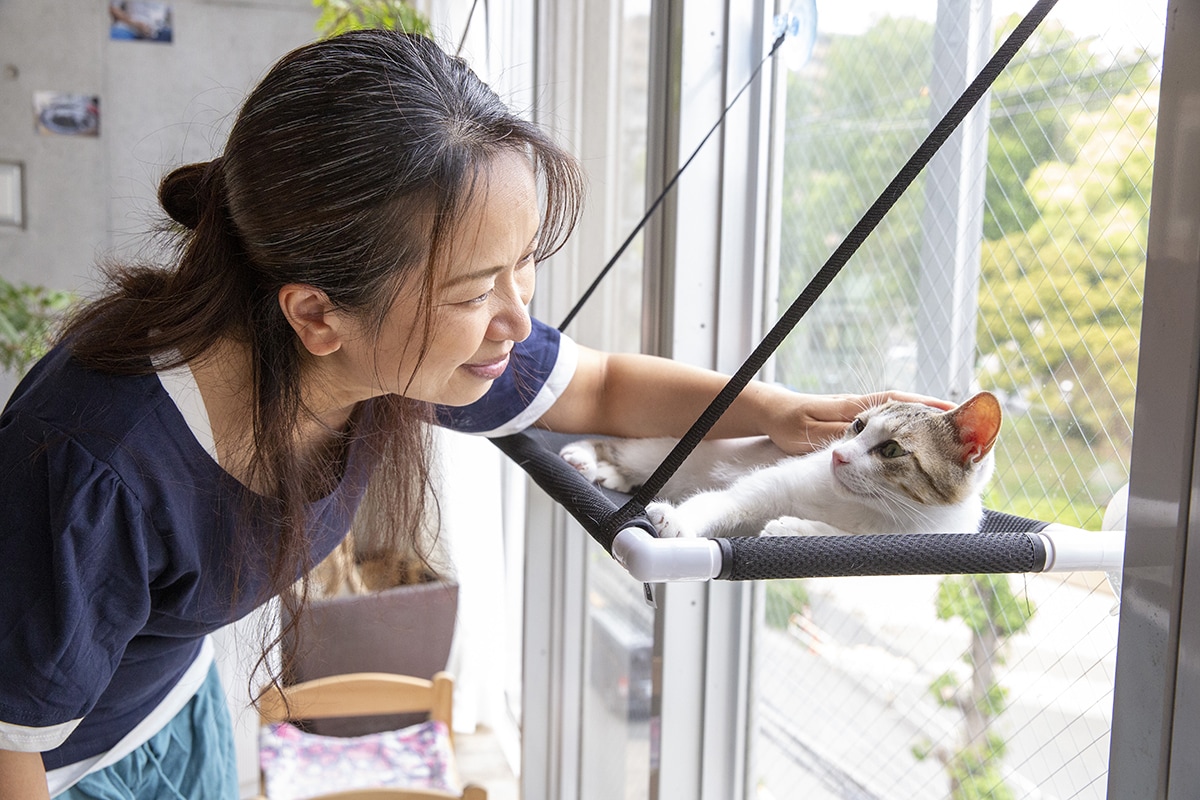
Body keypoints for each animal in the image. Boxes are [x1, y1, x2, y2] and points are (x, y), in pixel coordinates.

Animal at [561, 393, 1003, 537]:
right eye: (858, 426)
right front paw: (680, 520)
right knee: (612, 446)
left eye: (892, 450)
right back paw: (583, 458)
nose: (837, 455)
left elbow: (839, 537)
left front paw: (793, 527)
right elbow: (720, 503)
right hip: (654, 452)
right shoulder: (764, 487)